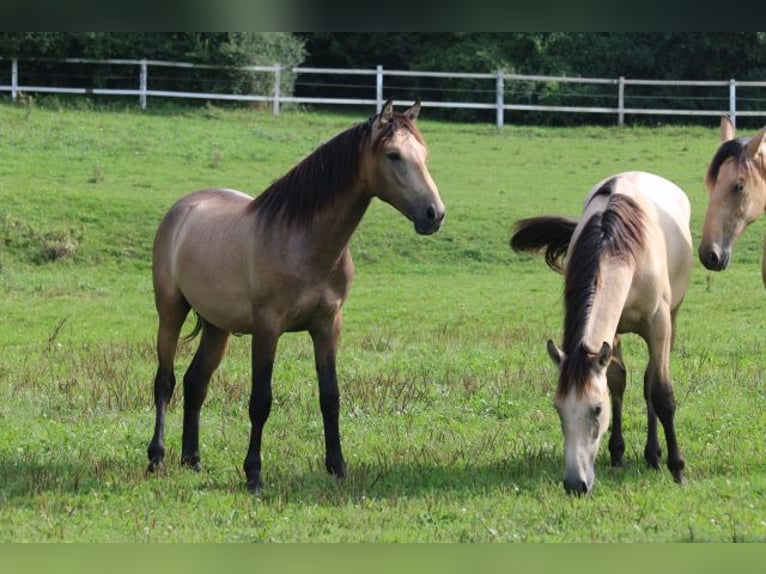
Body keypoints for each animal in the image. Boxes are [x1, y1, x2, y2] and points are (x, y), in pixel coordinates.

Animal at [147, 100, 448, 496]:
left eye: (424, 155)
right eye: (394, 155)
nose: (435, 214)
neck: (305, 243)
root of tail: (182, 207)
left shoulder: (327, 326)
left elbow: (330, 397)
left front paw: (337, 467)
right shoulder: (267, 329)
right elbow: (260, 400)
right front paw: (254, 474)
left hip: (217, 326)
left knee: (195, 383)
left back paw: (192, 459)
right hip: (171, 312)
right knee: (164, 382)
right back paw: (156, 457)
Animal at [510, 170, 696, 496]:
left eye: (596, 410)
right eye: (558, 408)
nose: (575, 484)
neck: (618, 250)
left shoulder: (659, 326)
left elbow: (661, 393)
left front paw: (678, 468)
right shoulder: (612, 333)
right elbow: (616, 382)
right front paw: (617, 454)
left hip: (672, 316)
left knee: (651, 380)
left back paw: (654, 455)